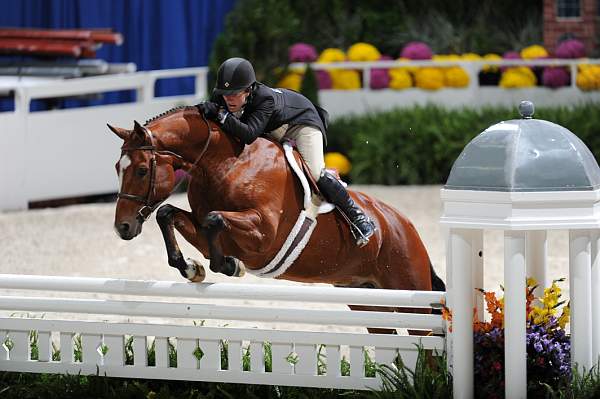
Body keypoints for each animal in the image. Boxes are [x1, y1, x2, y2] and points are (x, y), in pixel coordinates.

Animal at [108, 105, 446, 332]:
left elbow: (216, 220)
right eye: (116, 168)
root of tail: (405, 227)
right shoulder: (204, 229)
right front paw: (191, 268)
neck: (227, 162)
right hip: (367, 297)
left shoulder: (263, 236)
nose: (123, 227)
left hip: (410, 293)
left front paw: (229, 266)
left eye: (141, 170)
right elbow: (169, 214)